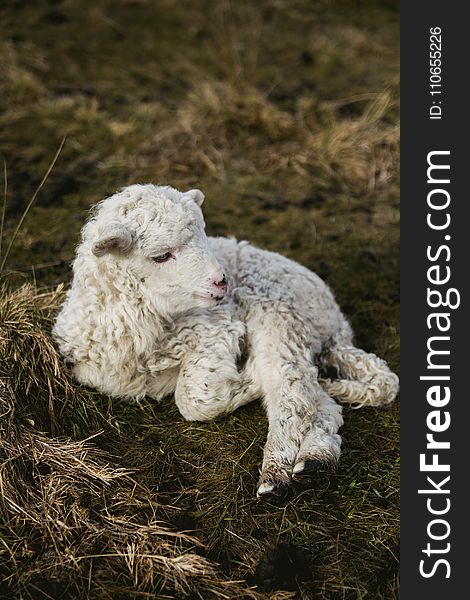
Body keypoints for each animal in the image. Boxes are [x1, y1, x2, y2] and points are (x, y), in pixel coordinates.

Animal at [53, 184, 398, 496]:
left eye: (204, 238)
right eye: (161, 256)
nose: (221, 281)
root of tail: (336, 326)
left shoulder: (217, 327)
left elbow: (193, 399)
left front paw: (248, 378)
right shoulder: (96, 372)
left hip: (278, 308)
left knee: (291, 388)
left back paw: (276, 474)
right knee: (319, 400)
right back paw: (316, 459)